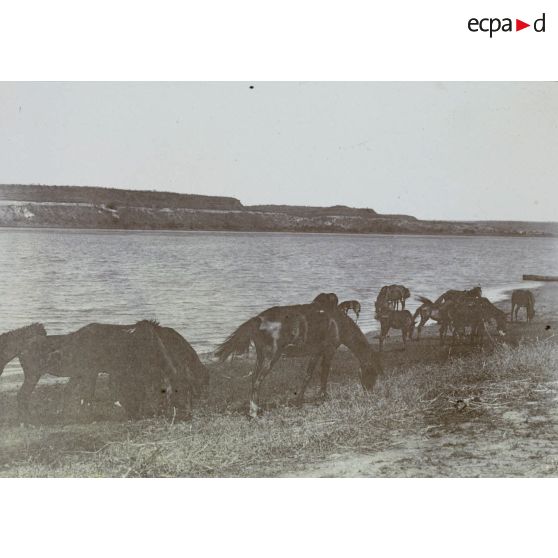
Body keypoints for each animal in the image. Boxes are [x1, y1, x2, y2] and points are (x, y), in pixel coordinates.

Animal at [217, 298, 382, 420]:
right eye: (373, 371)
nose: (369, 392)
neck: (337, 323)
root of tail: (258, 319)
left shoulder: (316, 353)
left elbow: (307, 376)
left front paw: (299, 402)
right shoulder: (328, 352)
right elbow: (324, 375)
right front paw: (321, 398)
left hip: (261, 356)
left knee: (253, 380)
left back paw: (256, 409)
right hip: (271, 357)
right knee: (258, 381)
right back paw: (254, 413)